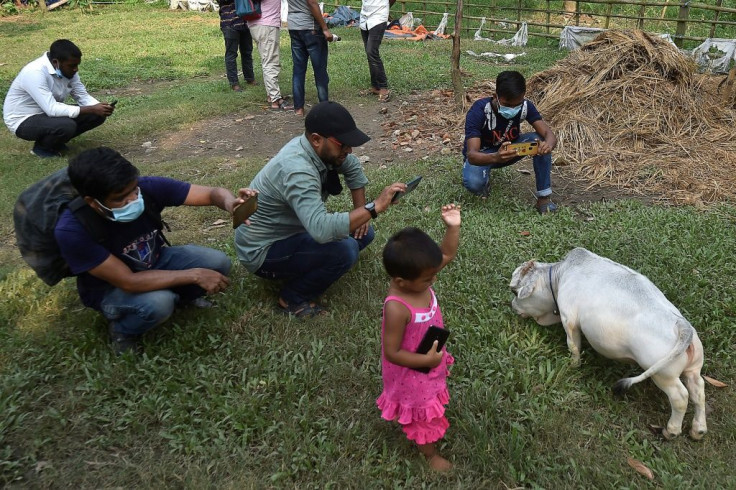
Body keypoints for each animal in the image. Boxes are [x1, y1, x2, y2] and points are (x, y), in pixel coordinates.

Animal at [512, 247, 708, 438]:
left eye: (514, 292)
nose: (512, 305)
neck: (561, 275)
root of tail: (681, 325)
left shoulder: (569, 319)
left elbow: (573, 346)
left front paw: (571, 365)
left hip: (664, 375)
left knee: (680, 397)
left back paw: (671, 431)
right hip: (692, 369)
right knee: (698, 390)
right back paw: (698, 430)